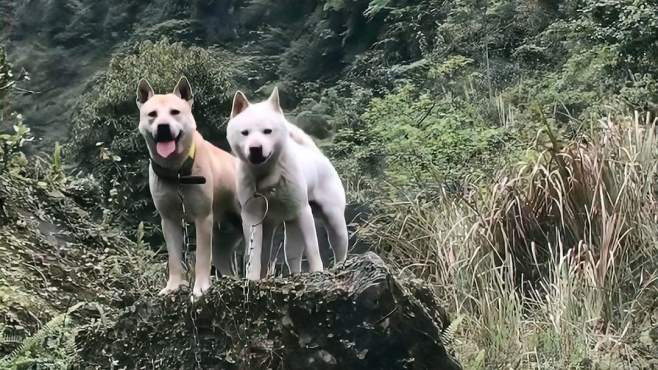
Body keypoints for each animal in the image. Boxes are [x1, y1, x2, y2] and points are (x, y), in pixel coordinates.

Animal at [135, 77, 241, 298]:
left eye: (175, 112)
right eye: (152, 114)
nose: (163, 127)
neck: (177, 173)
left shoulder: (203, 218)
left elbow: (201, 257)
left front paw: (200, 287)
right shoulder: (168, 221)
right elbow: (175, 258)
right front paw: (173, 286)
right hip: (222, 238)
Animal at [227, 87, 348, 280]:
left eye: (267, 131)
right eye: (245, 133)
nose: (255, 148)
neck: (267, 176)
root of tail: (318, 154)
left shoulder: (303, 211)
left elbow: (313, 249)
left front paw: (317, 271)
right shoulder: (252, 217)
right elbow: (253, 254)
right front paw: (252, 278)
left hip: (333, 219)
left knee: (339, 247)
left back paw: (340, 267)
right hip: (286, 225)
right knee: (290, 255)